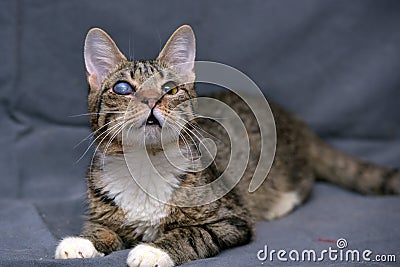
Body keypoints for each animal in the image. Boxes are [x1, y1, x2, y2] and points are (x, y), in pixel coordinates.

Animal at [54, 25, 398, 267]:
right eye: (123, 88)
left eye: (171, 89)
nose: (152, 100)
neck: (146, 164)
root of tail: (293, 119)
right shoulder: (103, 210)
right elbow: (101, 228)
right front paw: (81, 242)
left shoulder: (231, 218)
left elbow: (193, 233)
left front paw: (153, 250)